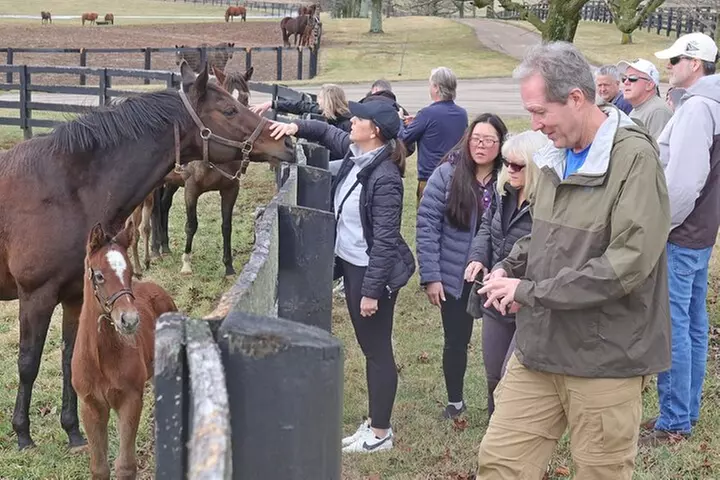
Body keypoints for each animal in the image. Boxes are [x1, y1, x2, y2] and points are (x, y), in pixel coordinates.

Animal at [72, 221, 175, 480]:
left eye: (129, 273)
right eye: (99, 275)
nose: (129, 320)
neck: (100, 358)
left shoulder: (130, 400)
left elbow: (126, 466)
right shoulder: (90, 405)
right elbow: (99, 467)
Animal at [151, 65, 259, 277]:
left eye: (245, 99)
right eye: (227, 108)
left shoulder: (230, 190)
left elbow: (226, 226)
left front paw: (229, 267)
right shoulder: (191, 189)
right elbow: (191, 225)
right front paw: (186, 264)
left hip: (173, 182)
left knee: (165, 205)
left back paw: (165, 247)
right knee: (155, 210)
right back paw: (156, 250)